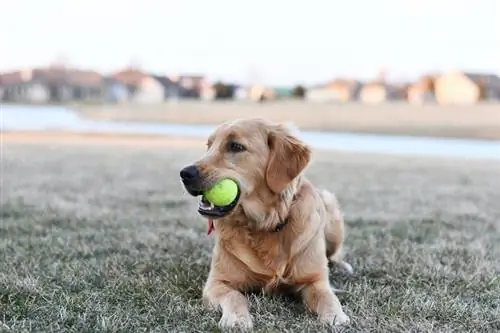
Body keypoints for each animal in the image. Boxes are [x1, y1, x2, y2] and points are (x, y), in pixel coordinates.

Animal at [180, 118, 352, 328]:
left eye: (235, 146)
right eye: (209, 145)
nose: (184, 173)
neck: (265, 224)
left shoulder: (315, 280)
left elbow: (328, 298)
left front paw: (336, 317)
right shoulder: (217, 283)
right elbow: (235, 296)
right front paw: (238, 318)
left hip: (330, 206)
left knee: (334, 254)